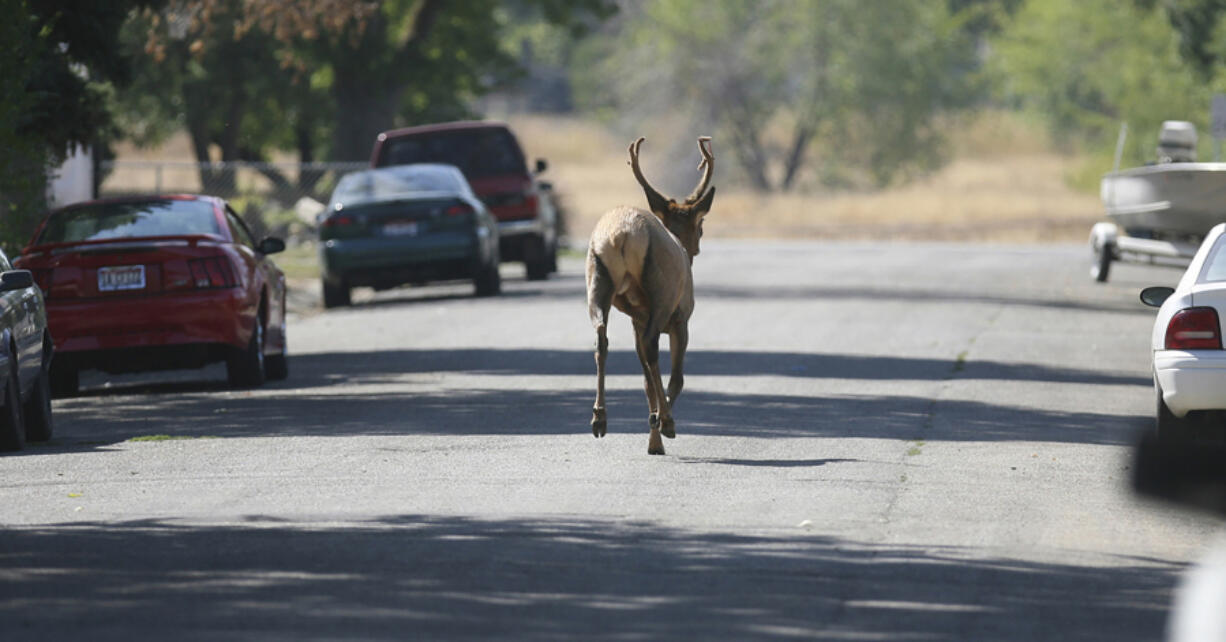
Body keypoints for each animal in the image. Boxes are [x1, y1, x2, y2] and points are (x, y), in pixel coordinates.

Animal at [586, 137, 715, 453]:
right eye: (700, 226)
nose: (696, 247)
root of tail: (621, 236)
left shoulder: (636, 320)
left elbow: (646, 383)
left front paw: (653, 438)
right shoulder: (681, 318)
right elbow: (676, 379)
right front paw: (659, 426)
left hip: (597, 280)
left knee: (601, 339)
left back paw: (599, 418)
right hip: (661, 293)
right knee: (652, 346)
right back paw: (666, 420)